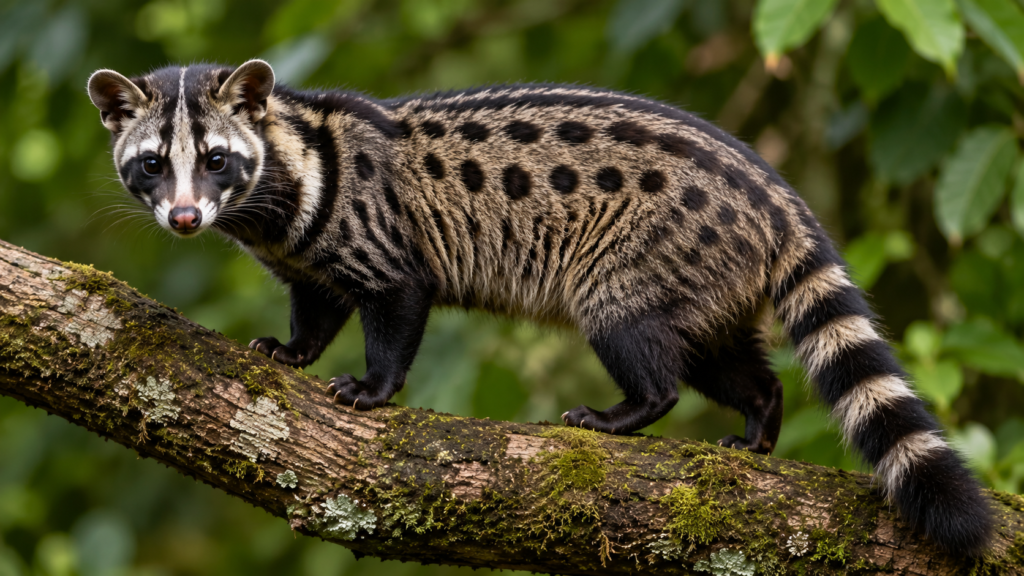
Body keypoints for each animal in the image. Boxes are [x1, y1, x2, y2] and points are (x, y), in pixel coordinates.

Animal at [88, 60, 992, 555]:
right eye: (151, 165)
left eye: (215, 159)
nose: (184, 218)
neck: (284, 168)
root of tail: (776, 197)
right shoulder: (304, 258)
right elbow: (316, 304)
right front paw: (294, 348)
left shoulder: (385, 243)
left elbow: (397, 307)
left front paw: (375, 388)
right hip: (707, 280)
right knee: (729, 360)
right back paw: (758, 418)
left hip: (635, 265)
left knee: (649, 354)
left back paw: (628, 410)